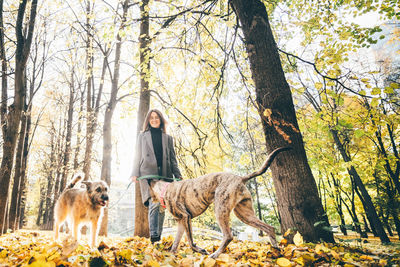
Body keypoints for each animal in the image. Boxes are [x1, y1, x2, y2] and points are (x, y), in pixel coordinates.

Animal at [150, 147, 290, 260]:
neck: (164, 189)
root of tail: (240, 178)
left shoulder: (185, 217)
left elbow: (190, 242)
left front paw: (200, 250)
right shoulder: (181, 222)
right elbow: (176, 241)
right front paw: (171, 255)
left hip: (221, 211)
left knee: (228, 236)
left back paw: (215, 255)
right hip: (245, 215)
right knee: (269, 228)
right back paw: (276, 252)